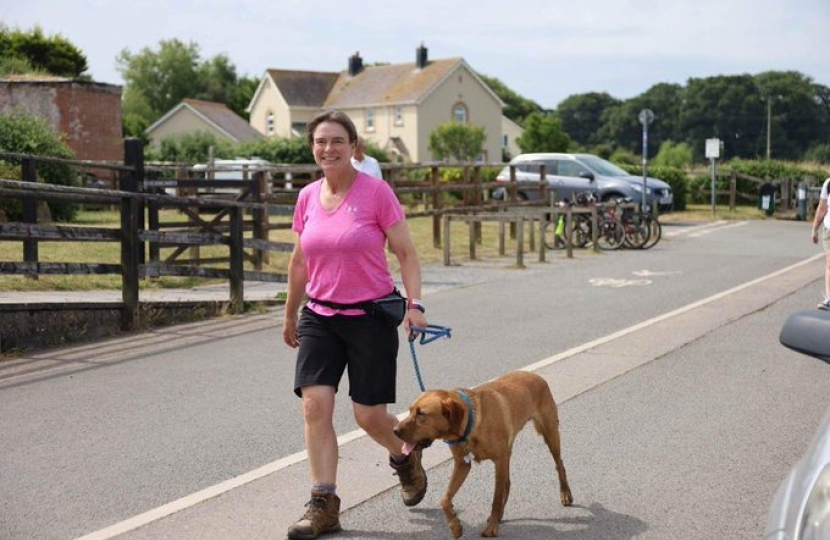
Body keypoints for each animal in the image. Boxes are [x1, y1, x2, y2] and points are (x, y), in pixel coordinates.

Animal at [394, 370, 568, 536]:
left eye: (421, 413)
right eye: (410, 410)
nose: (394, 431)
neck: (472, 424)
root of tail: (536, 376)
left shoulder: (499, 460)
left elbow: (495, 499)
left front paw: (492, 528)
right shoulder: (463, 464)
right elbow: (444, 499)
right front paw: (455, 526)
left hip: (550, 434)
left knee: (559, 464)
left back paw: (565, 494)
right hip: (509, 452)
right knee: (507, 483)